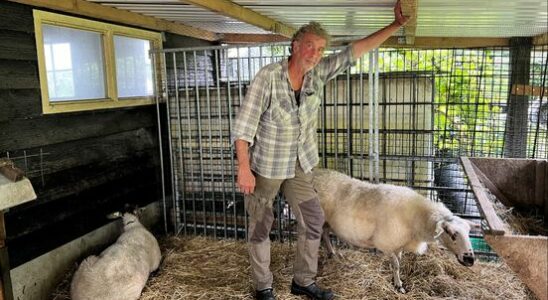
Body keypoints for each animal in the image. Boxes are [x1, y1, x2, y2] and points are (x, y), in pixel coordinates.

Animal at [312, 169, 476, 292]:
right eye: (451, 233)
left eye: (468, 233)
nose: (470, 259)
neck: (416, 218)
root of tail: (316, 172)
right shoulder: (386, 244)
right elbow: (396, 265)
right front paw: (398, 286)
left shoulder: (399, 244)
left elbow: (399, 262)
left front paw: (397, 280)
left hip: (327, 222)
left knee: (325, 234)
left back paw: (332, 253)